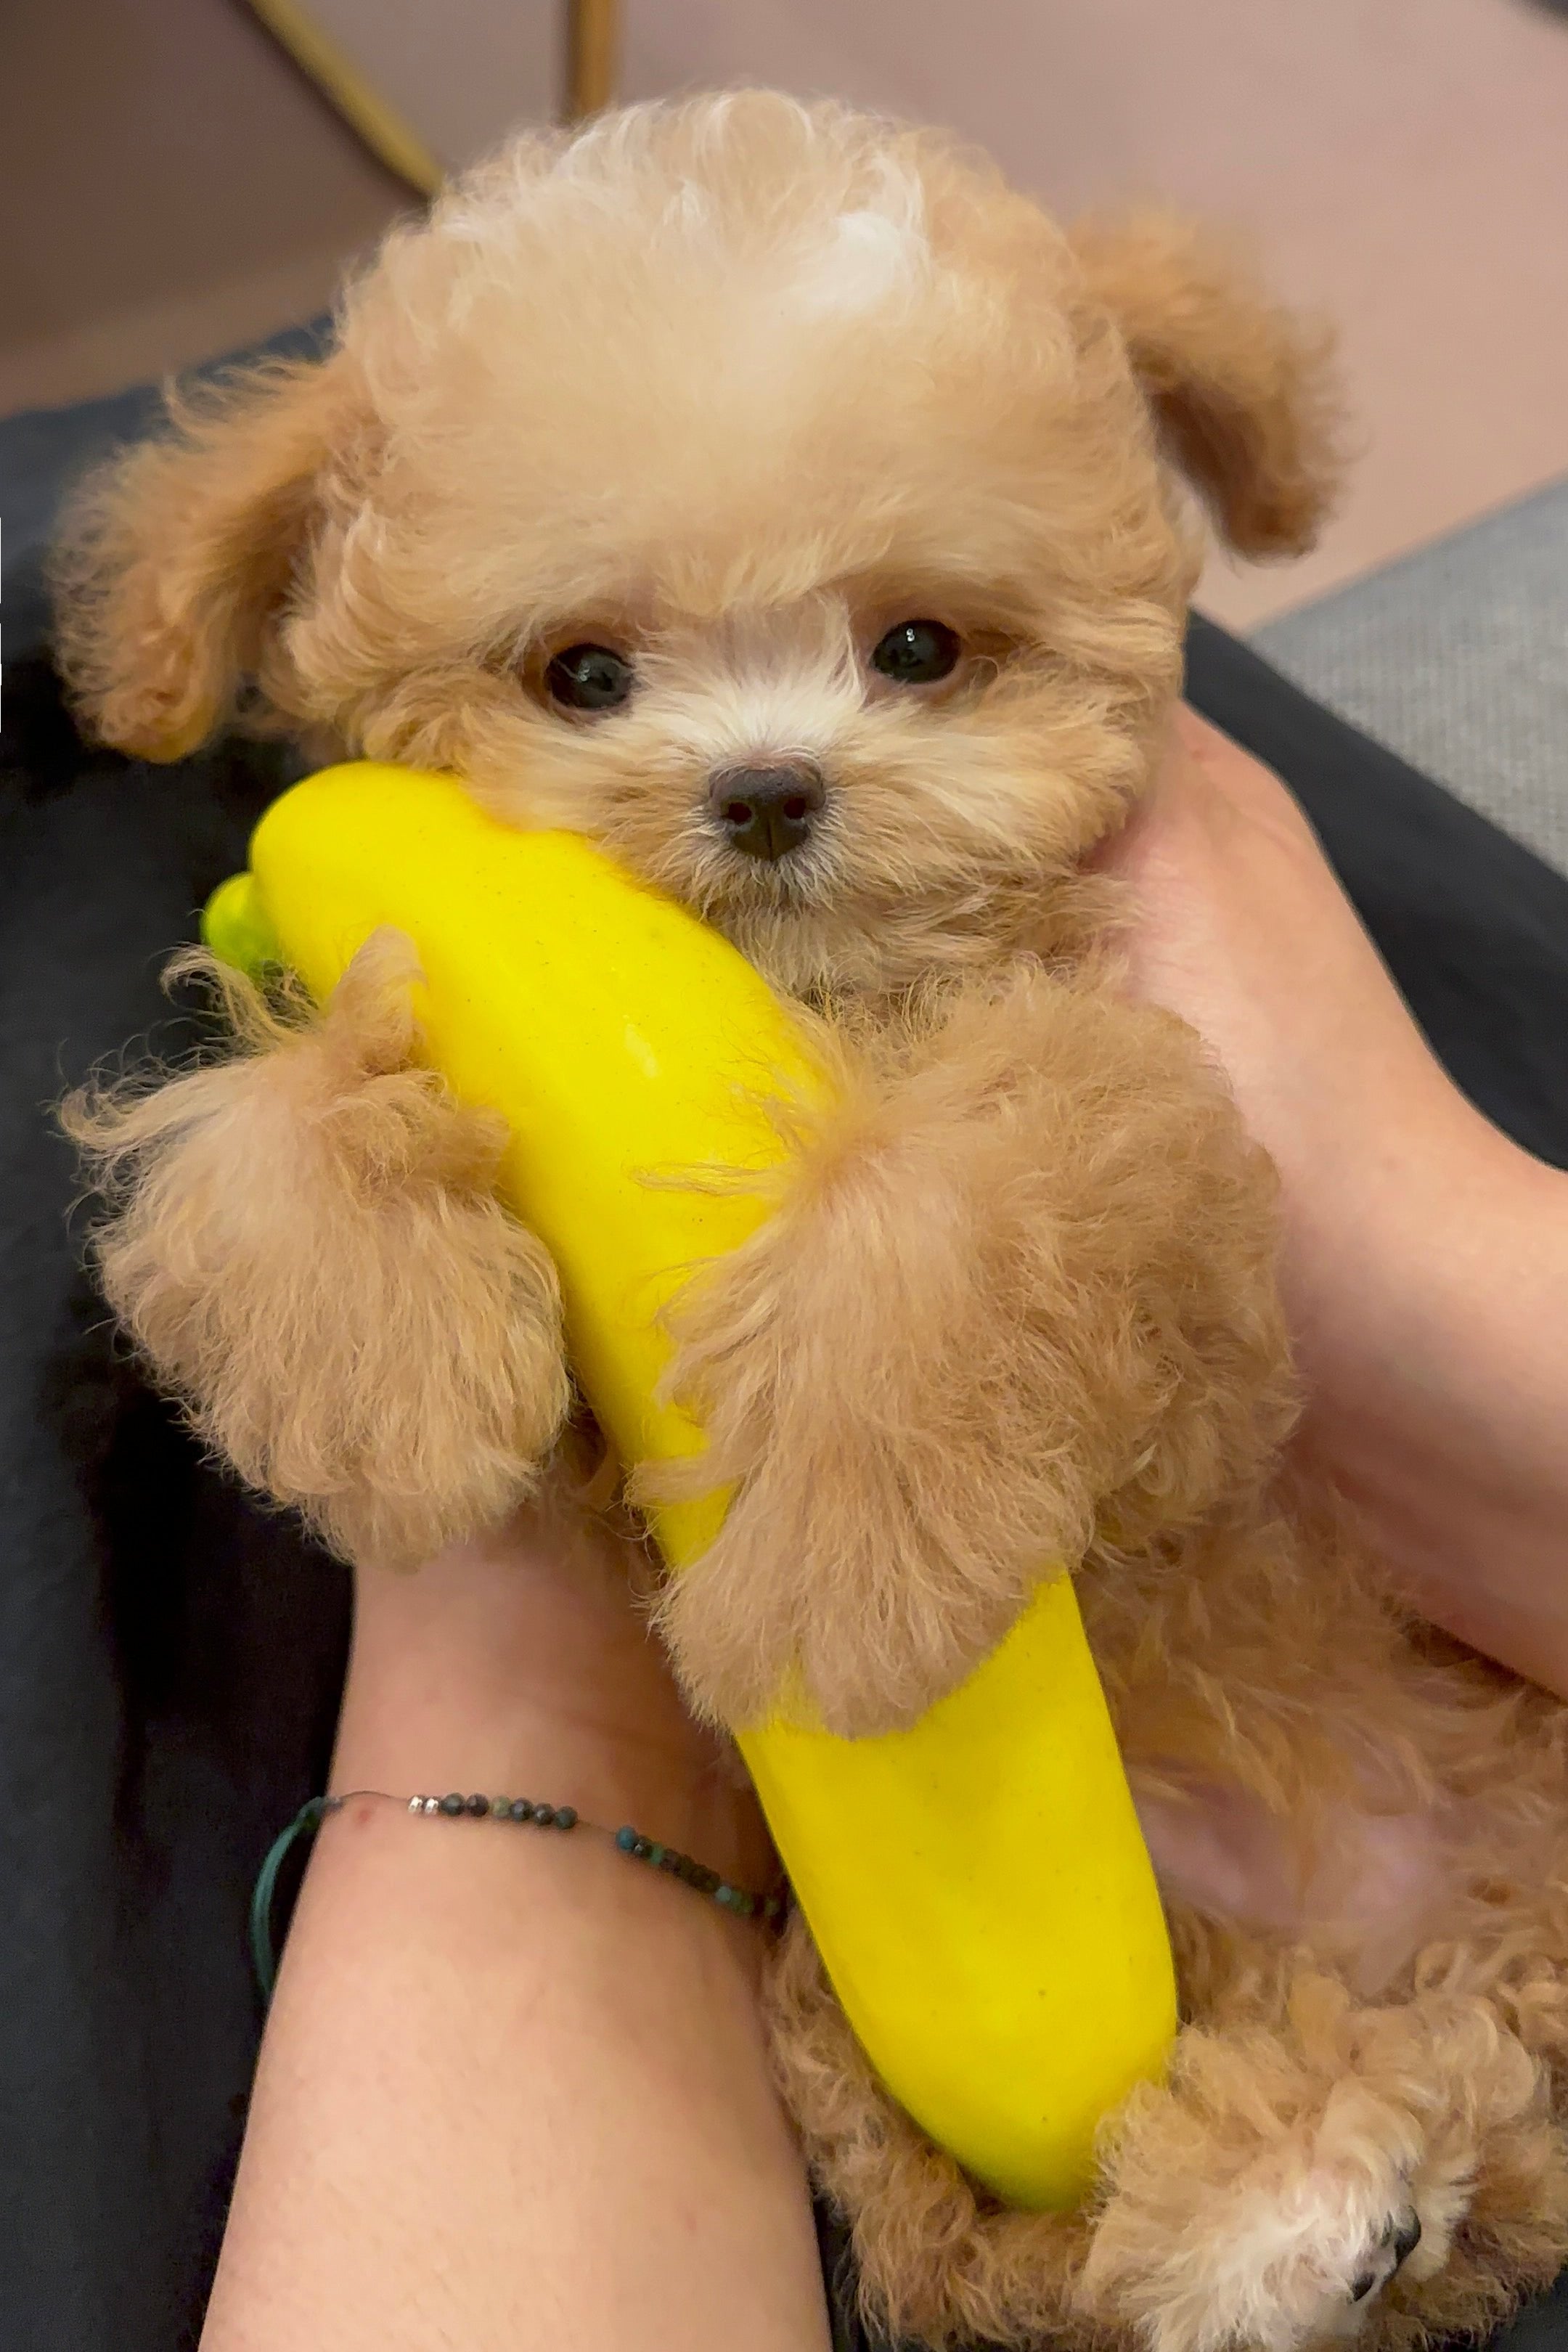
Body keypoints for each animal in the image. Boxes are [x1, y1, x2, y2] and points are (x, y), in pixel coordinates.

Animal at [55, 86, 1568, 2352]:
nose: (767, 788)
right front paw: (393, 1390)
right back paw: (1305, 2192)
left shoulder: (1197, 1252)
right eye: (583, 672)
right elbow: (254, 1124)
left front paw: (855, 1564)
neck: (830, 1000)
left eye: (919, 646)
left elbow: (975, 1188)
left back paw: (1321, 2188)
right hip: (888, 2002)